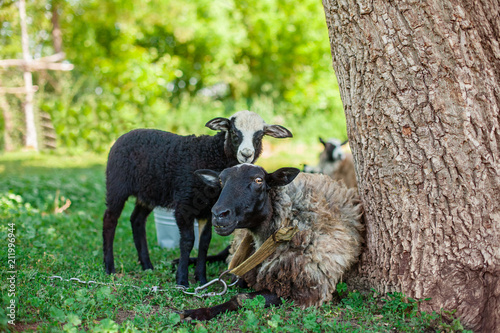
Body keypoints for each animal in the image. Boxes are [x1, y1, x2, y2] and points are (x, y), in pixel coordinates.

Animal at [101, 110, 292, 286]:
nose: (246, 154)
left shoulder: (208, 211)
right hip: (117, 185)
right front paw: (182, 280)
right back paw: (110, 268)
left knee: (137, 220)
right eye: (233, 132)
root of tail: (124, 136)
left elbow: (204, 242)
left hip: (147, 194)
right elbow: (187, 241)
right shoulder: (184, 205)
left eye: (259, 136)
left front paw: (201, 279)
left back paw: (147, 265)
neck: (212, 155)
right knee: (110, 220)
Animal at [182, 163, 362, 320]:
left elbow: (240, 298)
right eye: (220, 181)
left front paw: (199, 313)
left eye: (259, 180)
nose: (219, 214)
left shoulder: (301, 289)